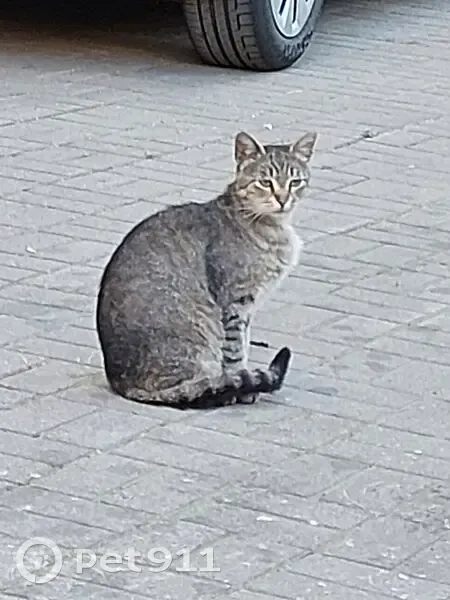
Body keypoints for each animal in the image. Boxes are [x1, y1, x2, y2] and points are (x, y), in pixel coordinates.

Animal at [96, 130, 318, 409]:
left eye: (295, 181)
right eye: (265, 182)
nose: (282, 199)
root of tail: (122, 383)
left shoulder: (247, 307)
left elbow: (244, 345)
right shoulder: (235, 302)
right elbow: (235, 353)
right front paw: (241, 386)